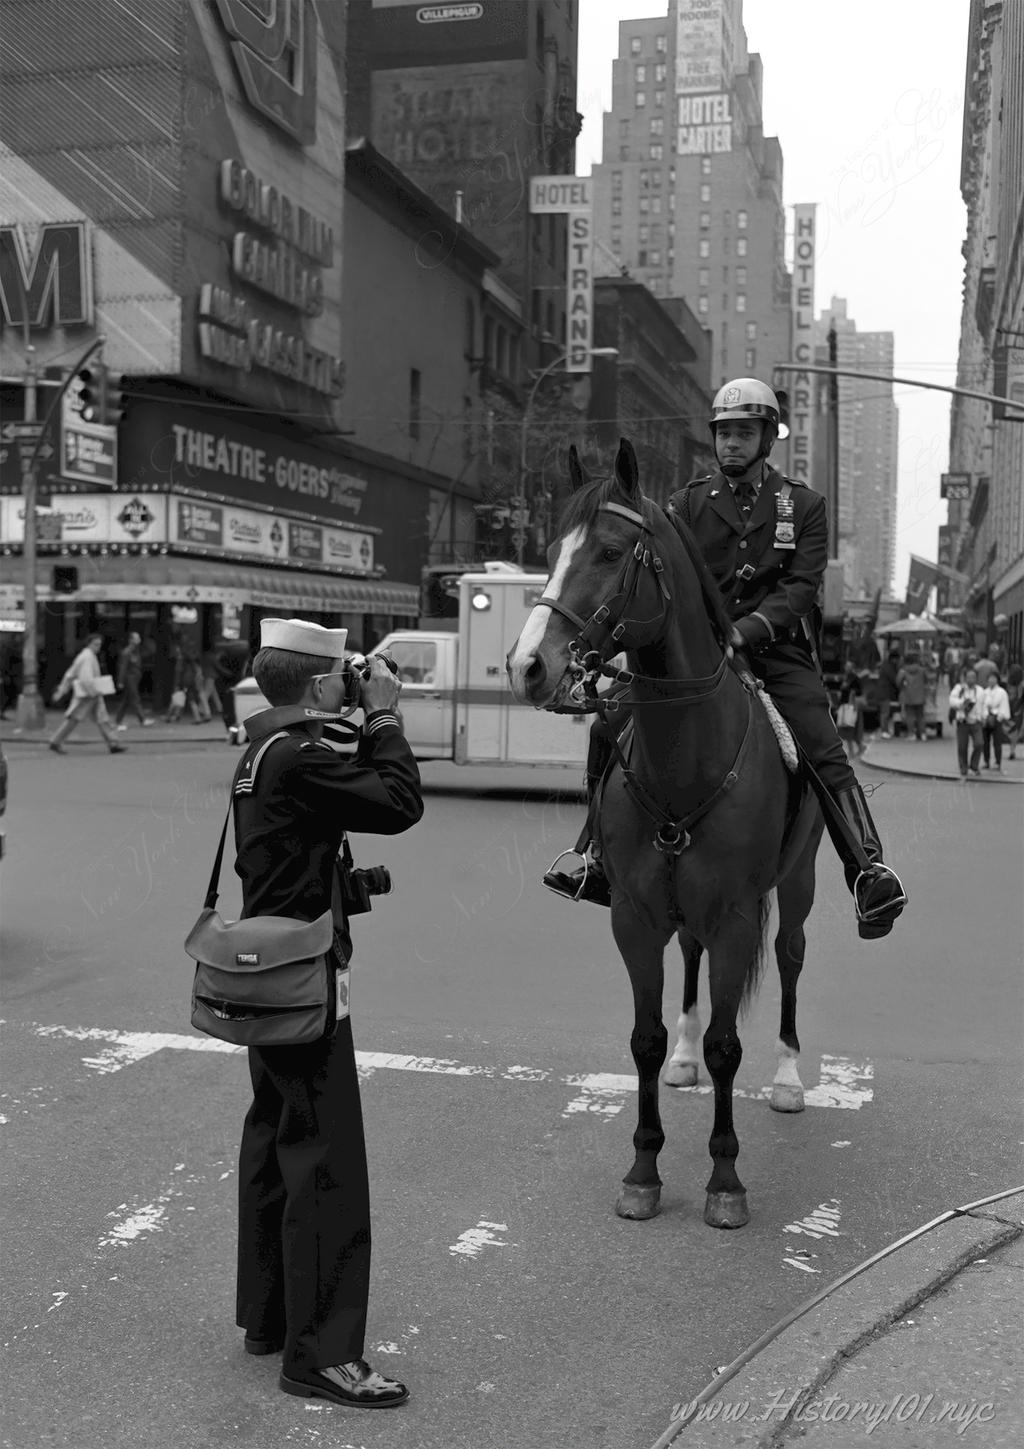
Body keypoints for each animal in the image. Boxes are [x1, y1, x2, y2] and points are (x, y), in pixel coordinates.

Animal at [506, 437, 822, 1222]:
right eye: (551, 551)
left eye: (612, 551)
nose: (528, 665)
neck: (687, 749)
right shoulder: (635, 913)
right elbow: (644, 1040)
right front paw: (644, 1168)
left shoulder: (737, 915)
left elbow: (727, 1047)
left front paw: (725, 1179)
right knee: (690, 956)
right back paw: (684, 1059)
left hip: (799, 882)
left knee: (792, 956)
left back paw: (790, 1076)